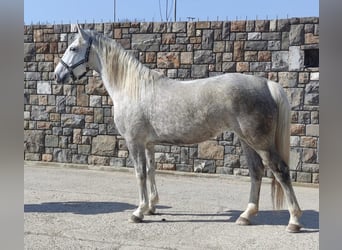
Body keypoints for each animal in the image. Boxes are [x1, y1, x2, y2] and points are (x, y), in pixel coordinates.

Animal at [54, 25, 304, 232]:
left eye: (73, 48)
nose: (57, 75)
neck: (132, 87)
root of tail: (266, 83)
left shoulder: (134, 142)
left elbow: (140, 173)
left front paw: (138, 212)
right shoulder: (148, 144)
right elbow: (151, 171)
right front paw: (151, 207)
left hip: (259, 142)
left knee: (280, 171)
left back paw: (293, 220)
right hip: (247, 141)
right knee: (256, 172)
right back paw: (246, 215)